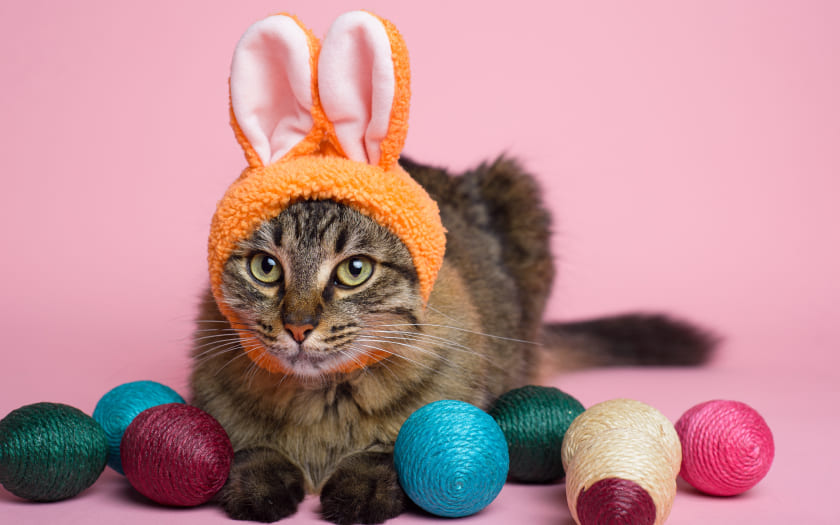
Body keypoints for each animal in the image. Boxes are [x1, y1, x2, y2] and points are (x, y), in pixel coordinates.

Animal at [190, 156, 716, 524]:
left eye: (354, 270)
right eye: (265, 268)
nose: (298, 326)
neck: (323, 404)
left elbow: (393, 449)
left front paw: (360, 489)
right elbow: (247, 448)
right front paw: (259, 485)